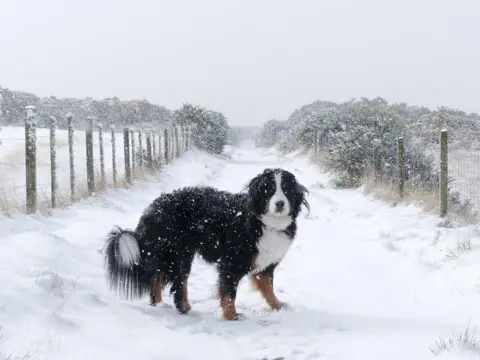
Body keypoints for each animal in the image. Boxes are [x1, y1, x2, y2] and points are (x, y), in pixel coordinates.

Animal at [103, 167, 310, 320]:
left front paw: (278, 305)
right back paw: (184, 308)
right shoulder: (231, 262)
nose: (280, 204)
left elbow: (268, 287)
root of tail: (152, 208)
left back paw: (161, 304)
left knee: (158, 279)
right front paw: (231, 315)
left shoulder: (266, 263)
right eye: (269, 190)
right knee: (178, 283)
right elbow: (229, 292)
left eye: (286, 190)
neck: (264, 222)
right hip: (178, 254)